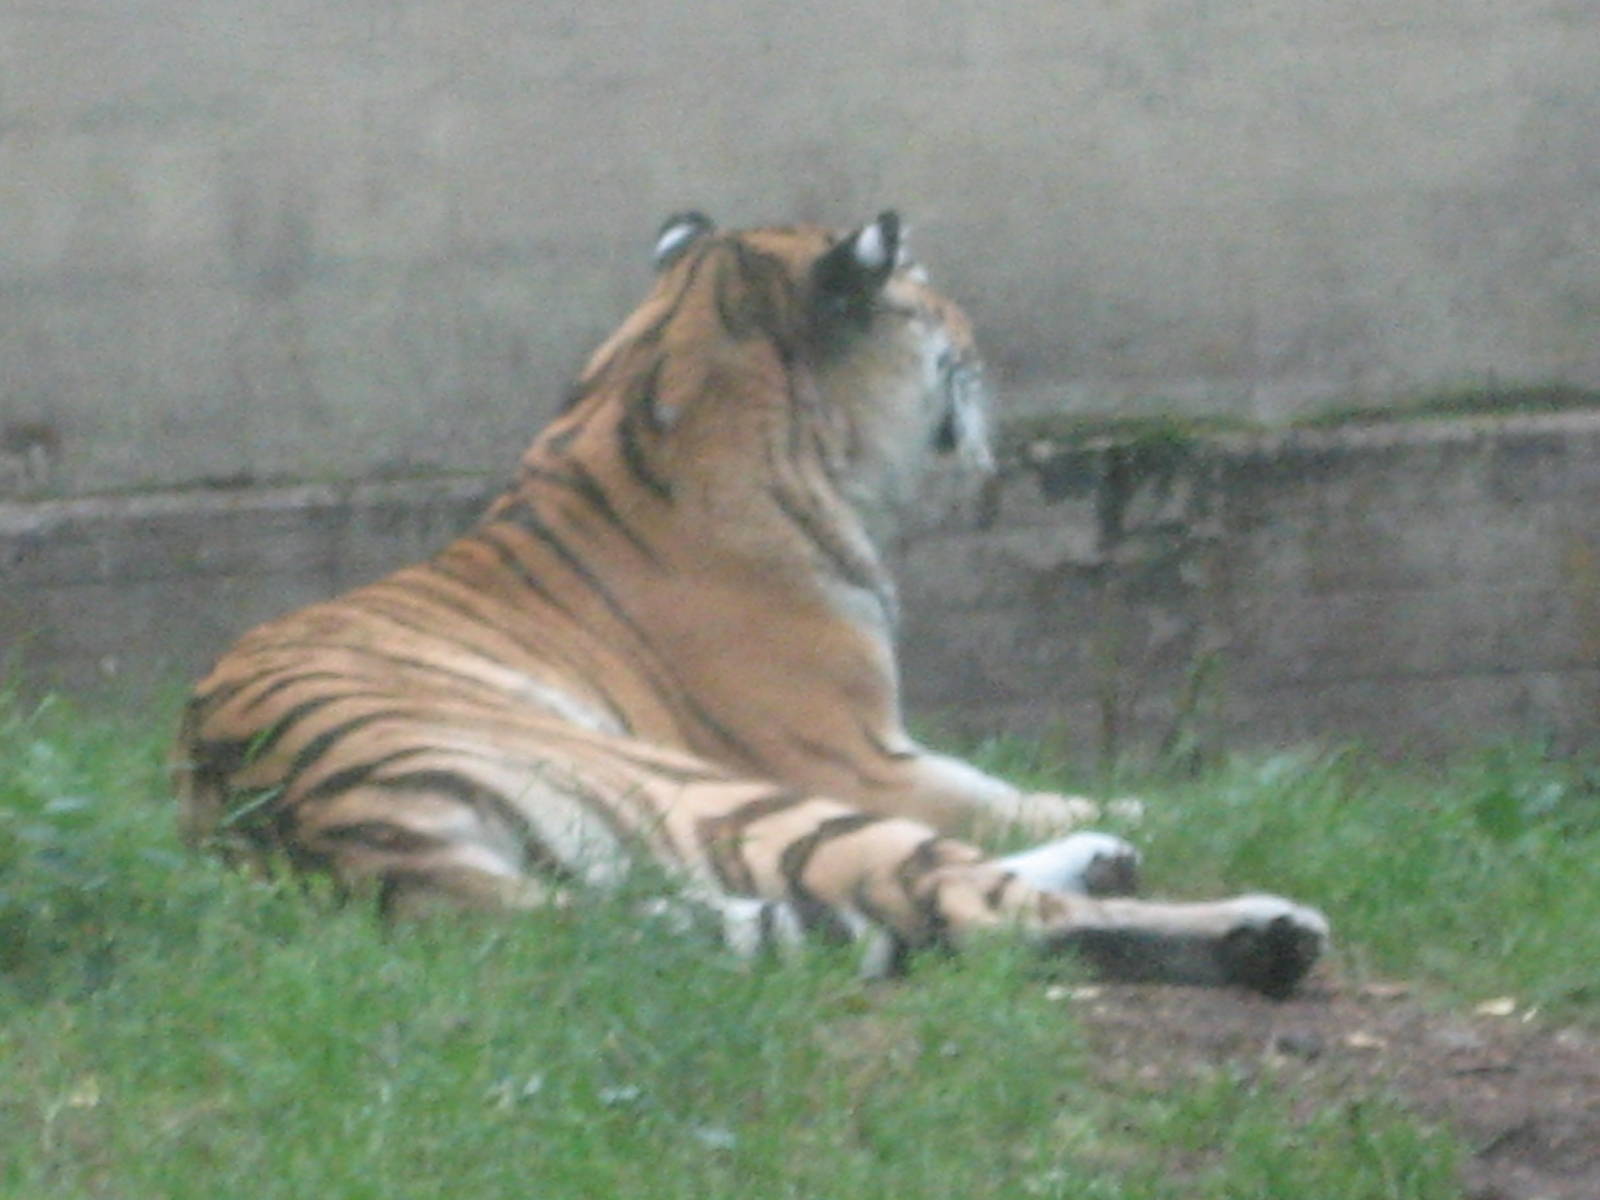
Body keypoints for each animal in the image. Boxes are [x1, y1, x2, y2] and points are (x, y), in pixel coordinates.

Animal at [173, 211, 1328, 996]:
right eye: (925, 293)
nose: (978, 331)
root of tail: (300, 829)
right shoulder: (857, 756)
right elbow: (1006, 790)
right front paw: (1215, 798)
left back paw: (1116, 863)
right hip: (700, 791)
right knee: (969, 908)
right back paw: (1259, 933)